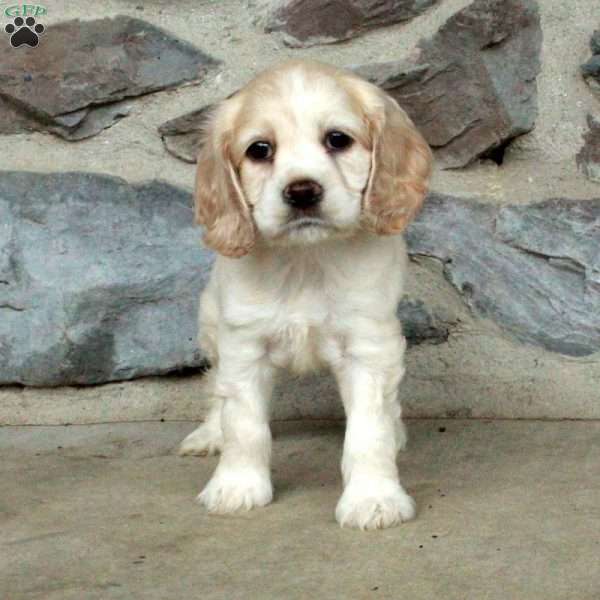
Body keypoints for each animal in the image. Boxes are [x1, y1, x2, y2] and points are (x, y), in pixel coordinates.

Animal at [178, 59, 432, 528]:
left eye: (338, 139)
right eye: (260, 149)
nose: (301, 191)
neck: (306, 260)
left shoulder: (368, 346)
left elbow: (368, 431)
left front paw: (373, 498)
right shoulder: (244, 347)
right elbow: (243, 424)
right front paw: (236, 486)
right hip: (210, 323)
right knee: (215, 387)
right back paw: (208, 433)